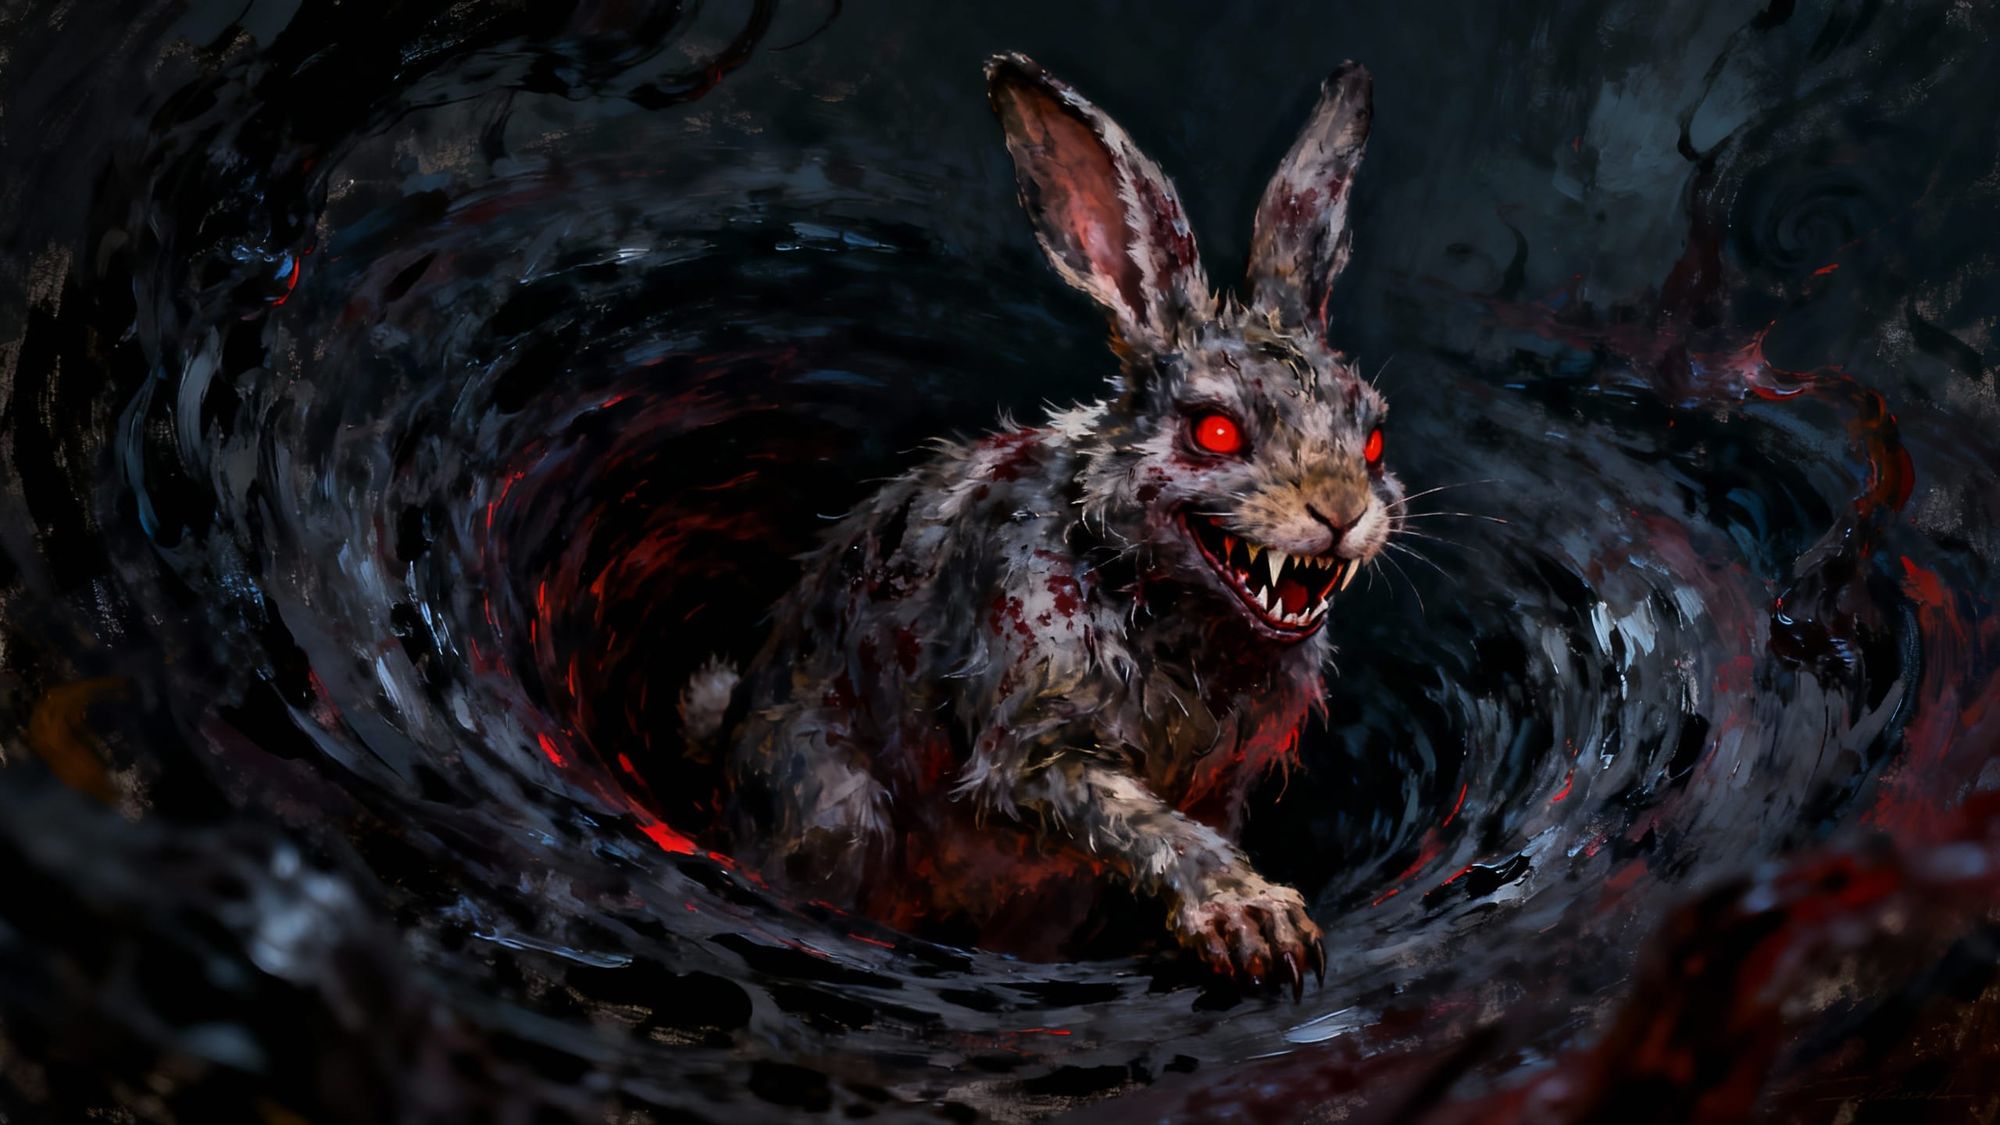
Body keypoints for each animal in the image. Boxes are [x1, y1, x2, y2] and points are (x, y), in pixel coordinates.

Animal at [683, 52, 1399, 995]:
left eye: (1373, 434)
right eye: (1214, 432)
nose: (1342, 512)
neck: (1155, 590)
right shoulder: (1028, 740)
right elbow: (1142, 821)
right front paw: (1254, 922)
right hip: (837, 809)